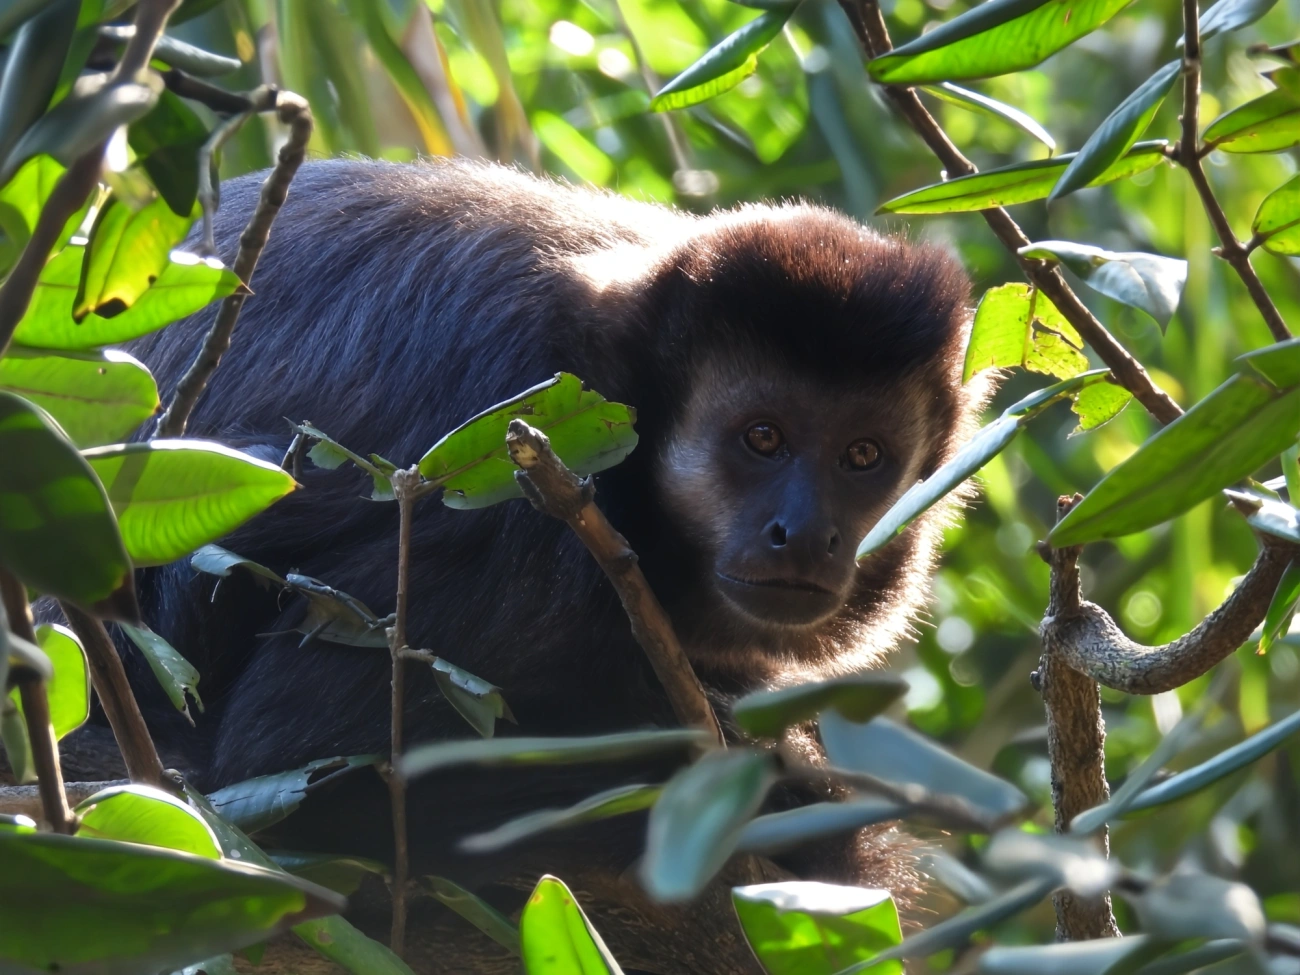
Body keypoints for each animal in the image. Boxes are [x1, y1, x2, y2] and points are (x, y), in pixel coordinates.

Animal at [51, 157, 992, 973]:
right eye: (763, 438)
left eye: (862, 456)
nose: (804, 532)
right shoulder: (519, 493)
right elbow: (304, 763)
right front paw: (791, 800)